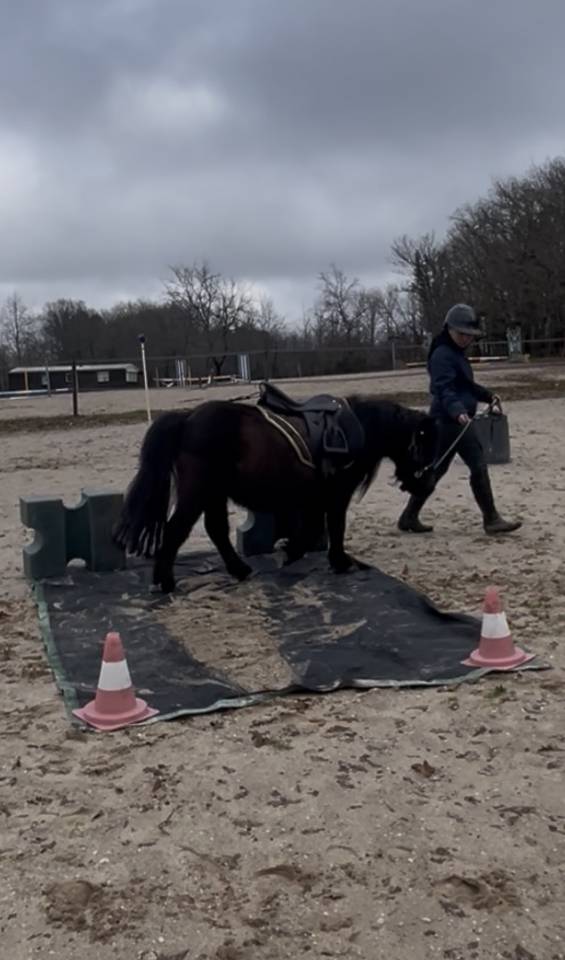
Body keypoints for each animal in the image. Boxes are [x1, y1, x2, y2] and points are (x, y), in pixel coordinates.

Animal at [113, 392, 436, 593]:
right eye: (422, 441)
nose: (425, 484)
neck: (357, 428)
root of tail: (188, 418)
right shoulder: (336, 495)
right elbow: (334, 527)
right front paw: (338, 562)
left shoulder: (315, 498)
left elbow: (314, 529)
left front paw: (297, 553)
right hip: (198, 493)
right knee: (176, 530)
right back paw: (164, 581)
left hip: (214, 494)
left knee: (216, 530)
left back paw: (240, 570)